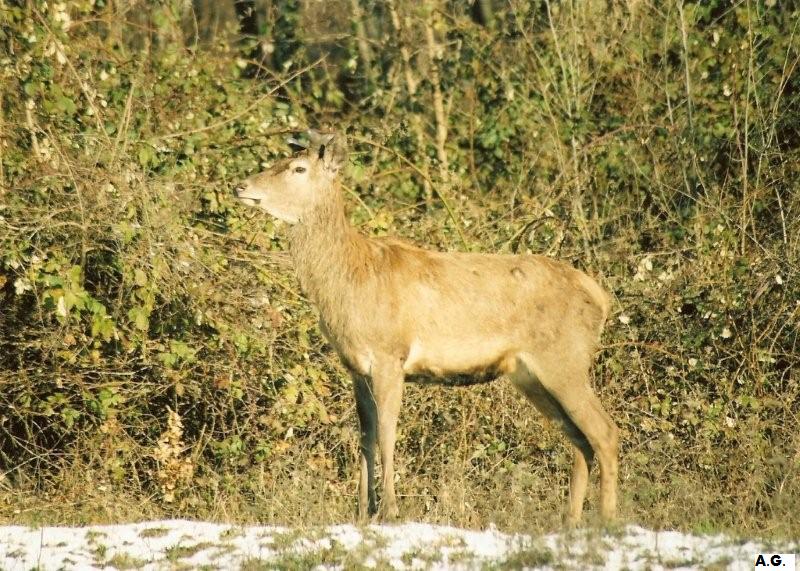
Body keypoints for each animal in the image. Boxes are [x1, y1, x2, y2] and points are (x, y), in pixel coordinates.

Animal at [231, 130, 620, 528]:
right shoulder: (356, 367)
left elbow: (387, 433)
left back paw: (607, 519)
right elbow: (365, 436)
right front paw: (362, 512)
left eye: (298, 168)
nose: (240, 186)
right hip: (530, 374)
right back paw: (570, 521)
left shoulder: (390, 354)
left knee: (605, 432)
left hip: (565, 359)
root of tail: (600, 297)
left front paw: (390, 510)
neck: (351, 279)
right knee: (580, 439)